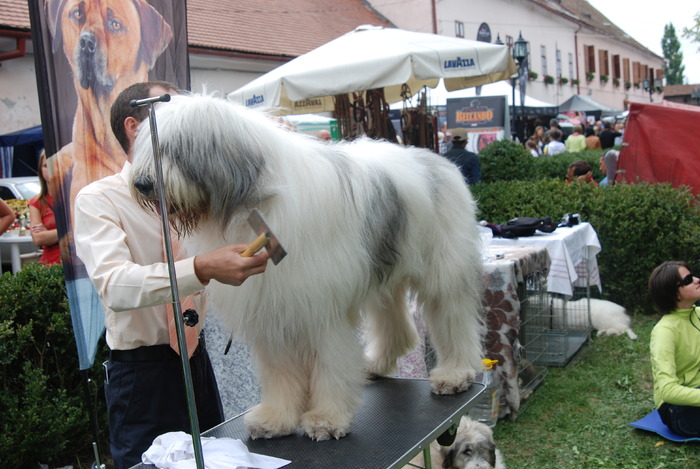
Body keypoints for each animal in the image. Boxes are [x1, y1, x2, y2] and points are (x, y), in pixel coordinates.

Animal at [129, 94, 484, 438]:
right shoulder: (271, 307)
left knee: (452, 315)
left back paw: (455, 374)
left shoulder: (321, 305)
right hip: (384, 265)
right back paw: (375, 364)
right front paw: (275, 419)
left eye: (175, 148)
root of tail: (438, 160)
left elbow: (329, 361)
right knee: (393, 318)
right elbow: (280, 369)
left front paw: (327, 418)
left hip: (443, 267)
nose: (142, 183)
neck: (255, 198)